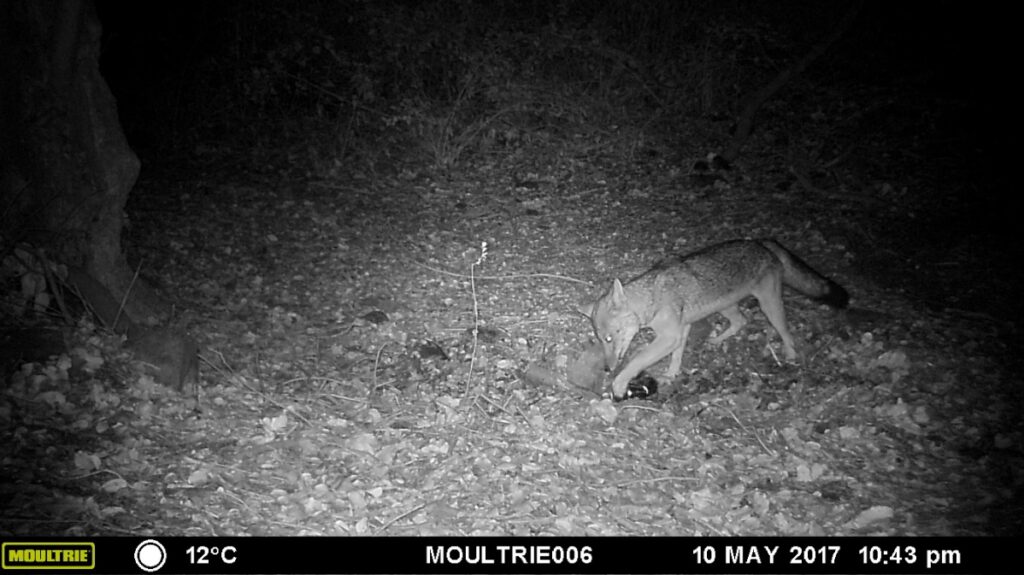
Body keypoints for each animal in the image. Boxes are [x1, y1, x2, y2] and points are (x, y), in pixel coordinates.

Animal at [580, 239, 848, 400]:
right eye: (599, 340)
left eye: (609, 338)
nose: (607, 368)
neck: (653, 297)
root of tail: (761, 241)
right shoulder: (682, 329)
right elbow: (677, 356)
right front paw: (672, 374)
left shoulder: (670, 335)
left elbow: (636, 360)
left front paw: (619, 384)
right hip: (727, 308)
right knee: (742, 321)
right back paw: (717, 341)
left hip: (769, 307)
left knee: (785, 333)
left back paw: (790, 356)